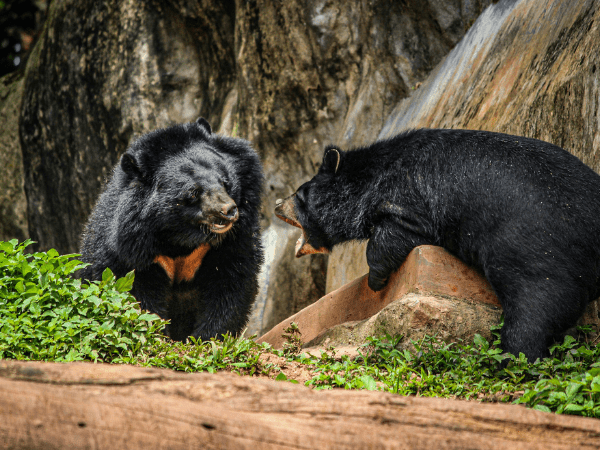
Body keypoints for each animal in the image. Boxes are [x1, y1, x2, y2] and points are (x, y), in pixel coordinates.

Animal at [77, 117, 262, 342]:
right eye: (193, 193)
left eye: (225, 182)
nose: (228, 211)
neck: (179, 236)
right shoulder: (130, 249)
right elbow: (135, 293)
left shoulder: (232, 239)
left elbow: (230, 282)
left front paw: (207, 338)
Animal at [278, 128, 600, 364]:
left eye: (301, 194)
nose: (276, 204)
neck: (372, 179)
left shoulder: (412, 199)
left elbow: (395, 235)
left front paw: (376, 280)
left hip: (538, 249)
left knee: (535, 307)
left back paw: (511, 357)